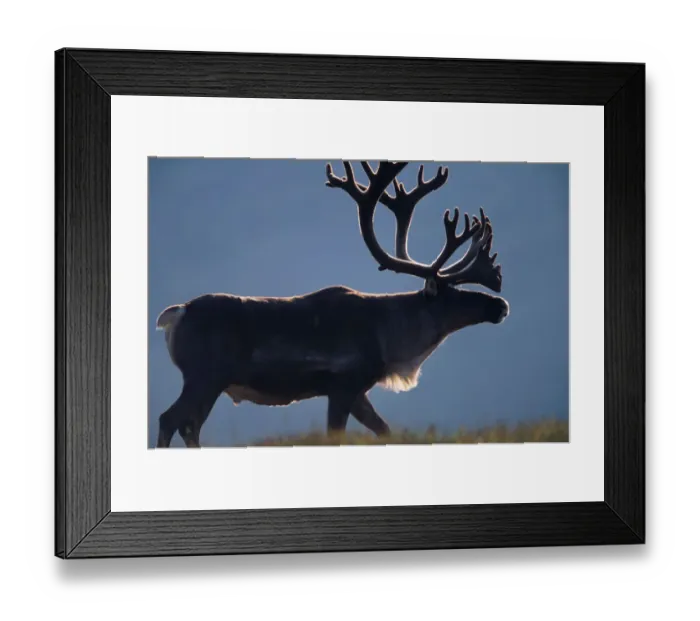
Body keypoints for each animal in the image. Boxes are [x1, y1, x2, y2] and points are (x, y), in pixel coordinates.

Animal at [155, 160, 509, 448]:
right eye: (451, 294)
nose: (501, 305)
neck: (390, 339)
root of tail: (176, 314)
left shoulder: (359, 392)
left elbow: (385, 430)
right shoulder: (342, 384)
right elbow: (334, 436)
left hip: (209, 382)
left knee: (188, 426)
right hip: (204, 376)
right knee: (171, 420)